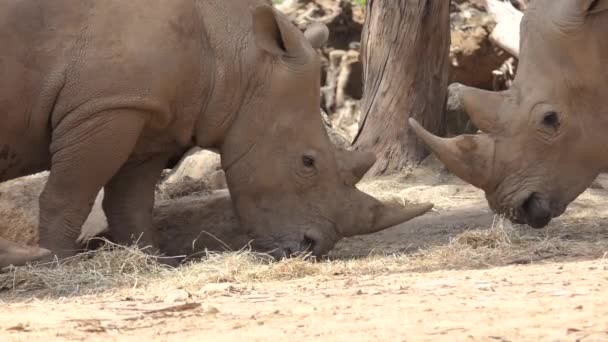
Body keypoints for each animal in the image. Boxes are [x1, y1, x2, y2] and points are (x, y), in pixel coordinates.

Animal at [0, 0, 432, 266]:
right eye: (307, 162)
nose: (312, 248)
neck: (232, 56)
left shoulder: (149, 114)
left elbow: (131, 202)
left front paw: (154, 261)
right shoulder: (105, 106)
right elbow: (71, 192)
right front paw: (60, 260)